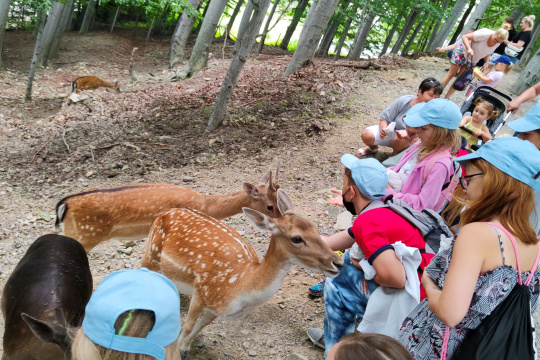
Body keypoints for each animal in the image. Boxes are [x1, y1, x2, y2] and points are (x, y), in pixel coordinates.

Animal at [141, 188, 344, 358]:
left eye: (315, 227)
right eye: (296, 238)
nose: (338, 262)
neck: (239, 288)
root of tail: (165, 213)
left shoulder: (215, 308)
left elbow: (199, 326)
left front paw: (185, 348)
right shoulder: (201, 292)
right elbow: (189, 325)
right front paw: (176, 351)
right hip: (152, 253)